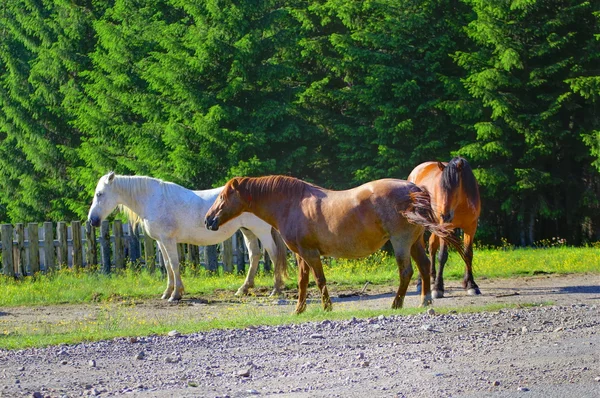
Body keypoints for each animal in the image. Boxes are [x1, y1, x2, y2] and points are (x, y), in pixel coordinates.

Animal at [86, 172, 288, 302]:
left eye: (100, 194)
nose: (92, 220)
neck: (153, 199)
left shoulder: (168, 240)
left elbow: (174, 264)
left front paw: (176, 294)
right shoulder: (161, 241)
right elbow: (168, 265)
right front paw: (167, 293)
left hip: (261, 231)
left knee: (274, 255)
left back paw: (276, 289)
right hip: (247, 230)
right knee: (255, 255)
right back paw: (243, 289)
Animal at [205, 176, 464, 312]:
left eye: (222, 197)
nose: (209, 220)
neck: (292, 203)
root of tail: (412, 188)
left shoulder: (311, 253)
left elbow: (319, 280)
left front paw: (327, 307)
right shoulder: (301, 254)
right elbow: (303, 282)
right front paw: (299, 309)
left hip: (401, 242)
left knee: (406, 271)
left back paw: (396, 303)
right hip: (414, 243)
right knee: (424, 266)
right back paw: (425, 301)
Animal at [406, 157, 480, 296]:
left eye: (456, 187)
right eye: (441, 188)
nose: (444, 214)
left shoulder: (471, 228)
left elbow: (468, 254)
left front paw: (471, 284)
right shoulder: (445, 228)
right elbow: (442, 256)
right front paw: (438, 288)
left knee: (432, 246)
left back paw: (432, 277)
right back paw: (420, 284)